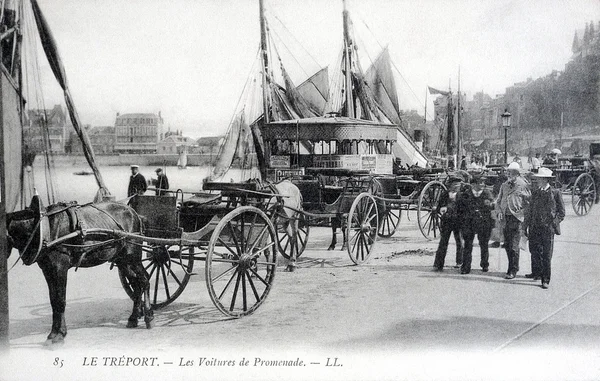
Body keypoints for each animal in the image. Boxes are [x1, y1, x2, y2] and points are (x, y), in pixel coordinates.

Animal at [7, 197, 152, 342]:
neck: (43, 227)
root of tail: (134, 213)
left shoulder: (60, 268)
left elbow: (60, 300)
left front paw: (60, 333)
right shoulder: (47, 270)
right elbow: (53, 301)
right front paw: (53, 333)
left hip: (133, 257)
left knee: (144, 279)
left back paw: (149, 316)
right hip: (123, 261)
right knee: (136, 283)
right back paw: (134, 318)